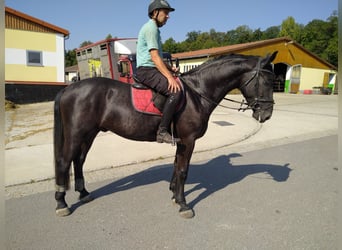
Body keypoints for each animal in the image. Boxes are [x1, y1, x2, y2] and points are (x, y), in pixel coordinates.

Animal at [54, 51, 278, 218]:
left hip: (89, 134)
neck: (198, 93)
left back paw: (83, 193)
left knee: (79, 161)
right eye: (267, 82)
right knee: (65, 162)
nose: (267, 115)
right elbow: (183, 170)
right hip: (76, 134)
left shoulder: (181, 141)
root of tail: (68, 89)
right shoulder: (188, 140)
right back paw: (61, 203)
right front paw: (184, 204)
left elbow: (176, 166)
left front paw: (174, 195)